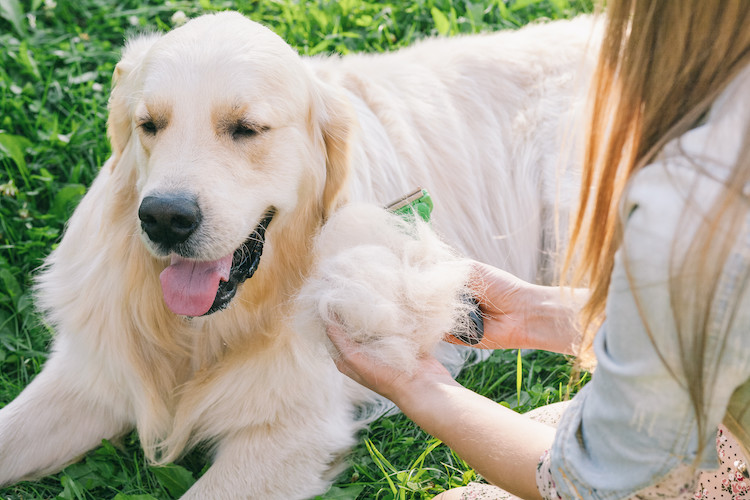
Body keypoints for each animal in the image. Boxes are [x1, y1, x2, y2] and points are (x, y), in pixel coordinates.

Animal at [0, 9, 600, 498]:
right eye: (149, 126)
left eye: (246, 128)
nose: (164, 218)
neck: (205, 334)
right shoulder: (92, 374)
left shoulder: (291, 435)